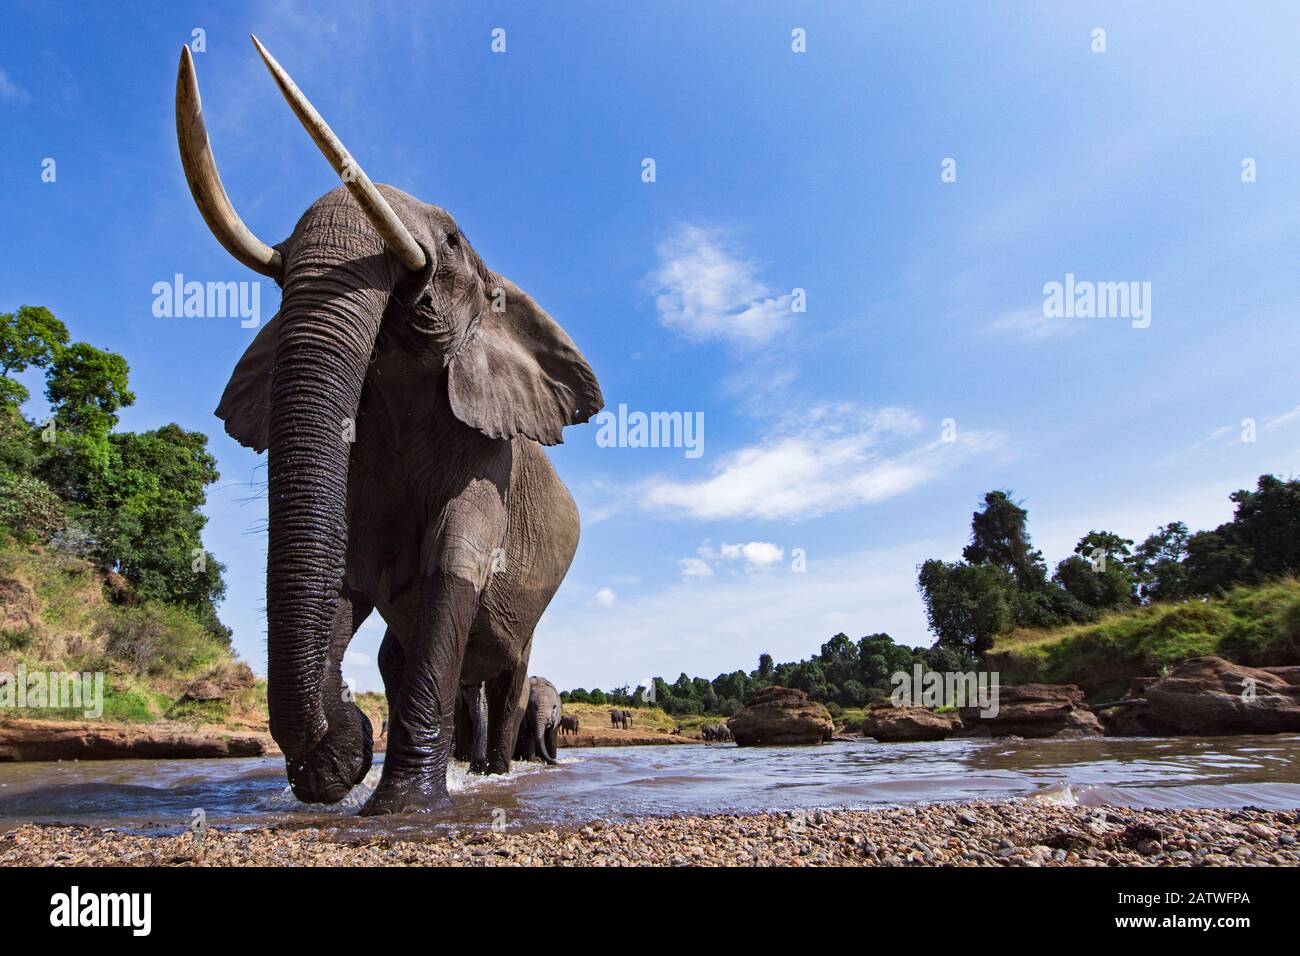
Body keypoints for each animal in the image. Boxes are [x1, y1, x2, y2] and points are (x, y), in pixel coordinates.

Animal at [178, 39, 603, 816]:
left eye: (454, 239)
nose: (350, 728)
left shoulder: (489, 459)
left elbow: (452, 565)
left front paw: (402, 806)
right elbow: (346, 576)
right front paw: (340, 773)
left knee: (505, 679)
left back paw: (493, 775)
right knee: (400, 656)